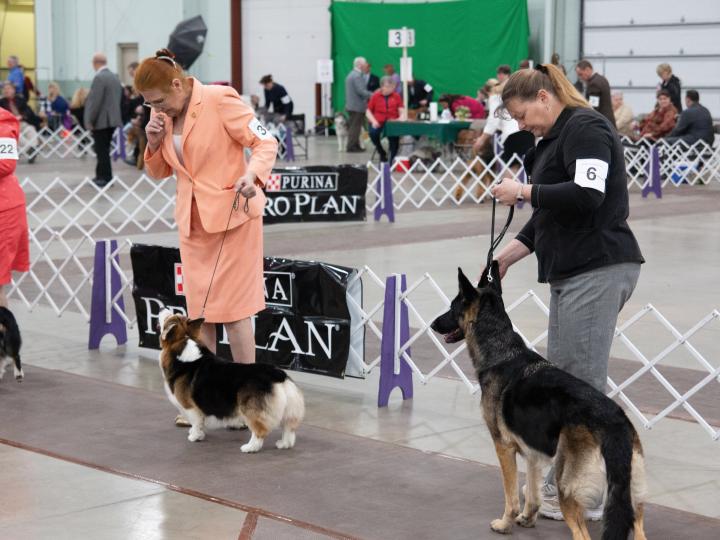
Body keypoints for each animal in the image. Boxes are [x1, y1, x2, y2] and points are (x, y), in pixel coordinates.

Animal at [158, 310, 304, 454]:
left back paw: (250, 447)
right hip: (288, 409)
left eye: (167, 318)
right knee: (288, 428)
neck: (183, 343)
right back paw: (284, 444)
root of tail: (277, 374)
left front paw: (194, 436)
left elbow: (196, 422)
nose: (162, 310)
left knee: (260, 430)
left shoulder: (190, 407)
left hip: (251, 410)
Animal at [434, 266, 648, 540]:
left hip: (567, 489)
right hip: (631, 503)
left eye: (452, 307)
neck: (502, 352)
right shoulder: (532, 452)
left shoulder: (503, 447)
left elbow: (511, 498)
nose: (433, 324)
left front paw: (505, 524)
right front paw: (527, 518)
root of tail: (615, 423)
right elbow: (533, 495)